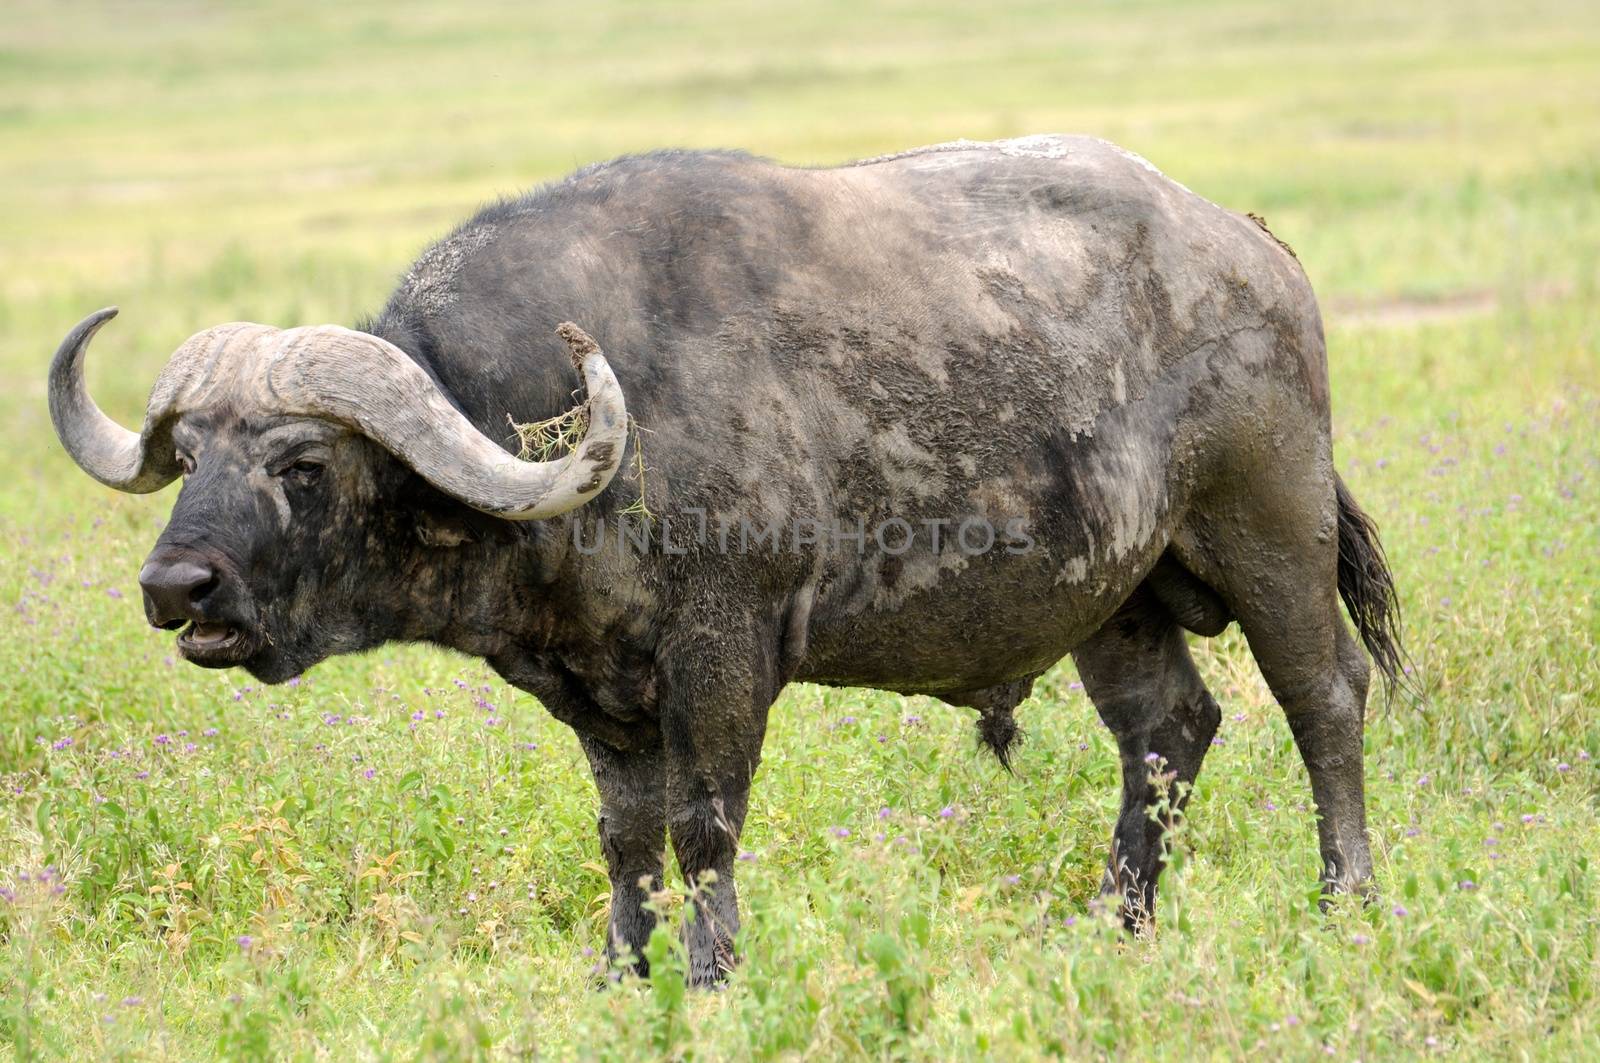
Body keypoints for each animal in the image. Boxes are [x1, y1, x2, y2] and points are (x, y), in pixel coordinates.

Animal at [46, 136, 1401, 986]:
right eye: (191, 455)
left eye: (305, 464)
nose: (176, 590)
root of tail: (1255, 253)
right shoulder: (598, 696)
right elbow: (626, 840)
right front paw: (618, 973)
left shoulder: (721, 654)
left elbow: (704, 827)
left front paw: (712, 976)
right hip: (1109, 600)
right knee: (1168, 732)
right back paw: (1115, 922)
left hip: (1269, 529)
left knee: (1322, 697)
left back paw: (1345, 902)